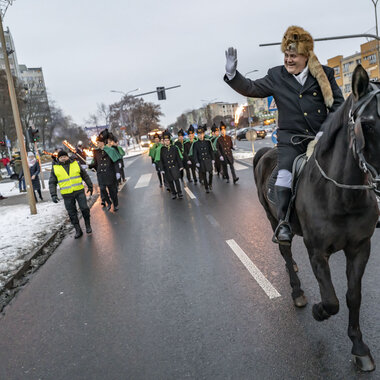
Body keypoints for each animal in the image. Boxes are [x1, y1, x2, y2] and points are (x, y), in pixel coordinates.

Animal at [254, 64, 378, 372]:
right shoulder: (317, 252)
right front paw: (319, 311)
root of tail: (265, 152)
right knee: (286, 254)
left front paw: (359, 347)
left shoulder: (361, 248)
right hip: (273, 221)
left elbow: (353, 296)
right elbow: (331, 300)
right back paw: (297, 292)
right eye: (368, 124)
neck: (341, 195)